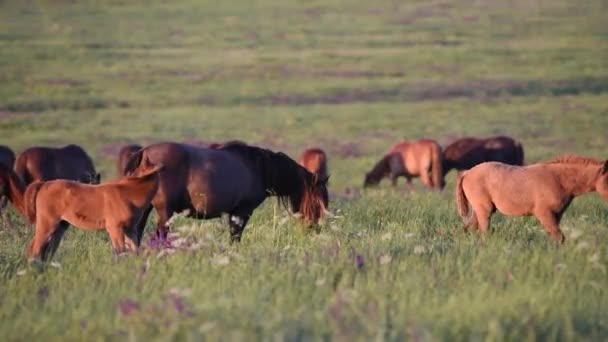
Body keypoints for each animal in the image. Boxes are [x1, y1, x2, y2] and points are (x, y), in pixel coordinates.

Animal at [25, 160, 164, 262]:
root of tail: (43, 184)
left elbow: (135, 251)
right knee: (34, 249)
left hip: (60, 226)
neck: (129, 192)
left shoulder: (130, 229)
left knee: (48, 251)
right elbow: (120, 251)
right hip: (47, 224)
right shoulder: (114, 228)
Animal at [123, 142, 330, 243]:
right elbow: (235, 237)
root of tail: (144, 153)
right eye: (318, 202)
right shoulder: (242, 211)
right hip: (165, 212)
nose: (316, 229)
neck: (259, 167)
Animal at [456, 156, 608, 243]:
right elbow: (558, 237)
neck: (558, 179)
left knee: (467, 229)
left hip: (479, 211)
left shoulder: (556, 215)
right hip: (484, 211)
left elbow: (556, 237)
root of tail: (467, 173)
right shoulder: (544, 213)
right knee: (483, 232)